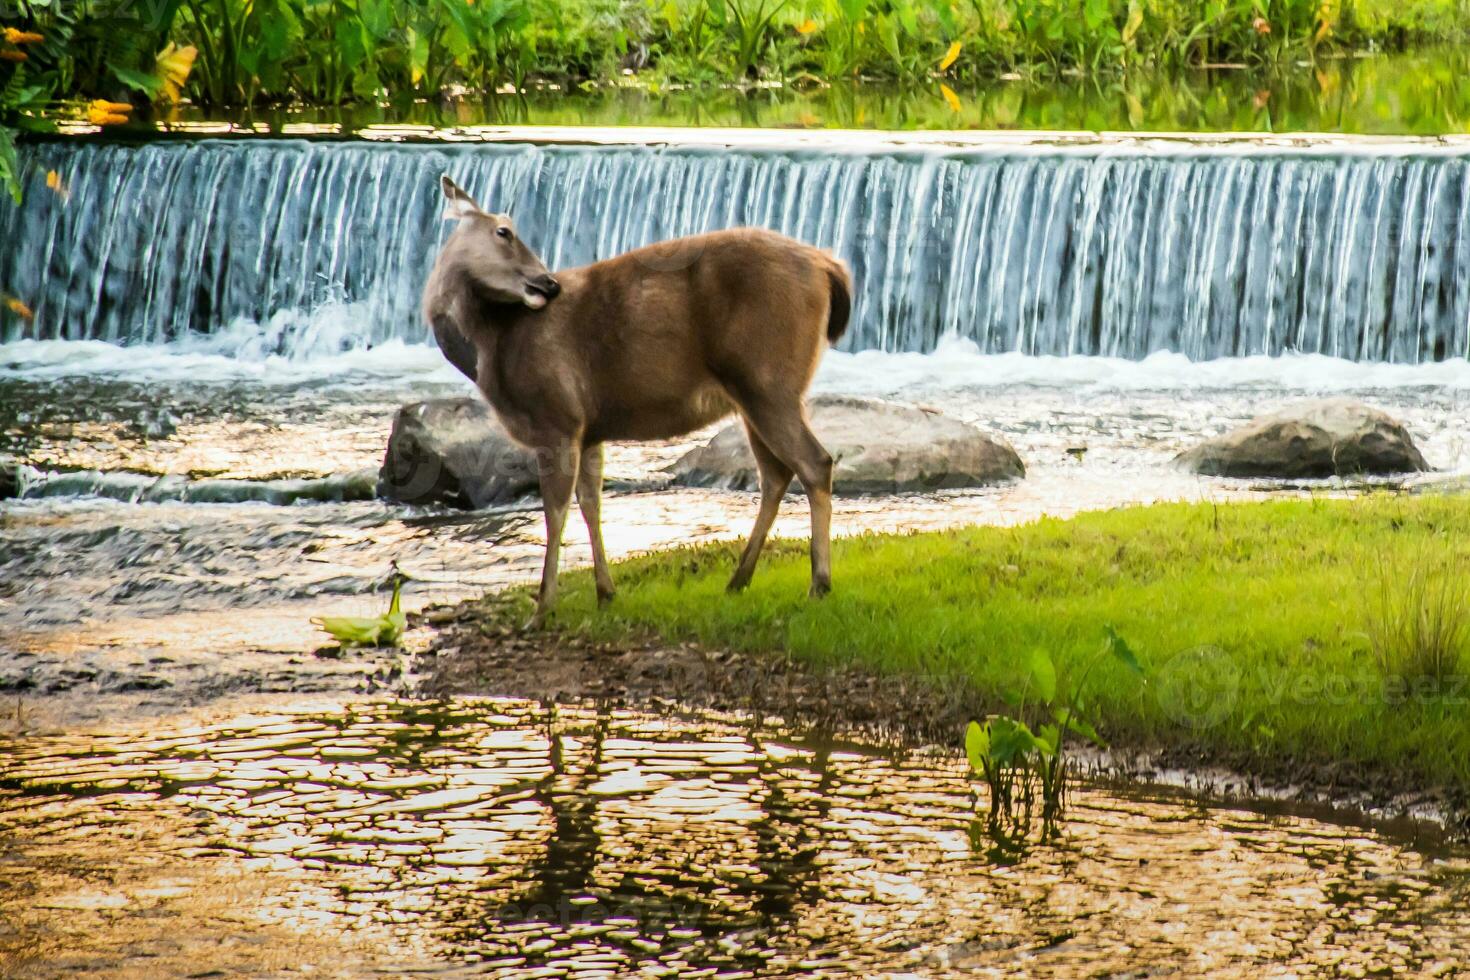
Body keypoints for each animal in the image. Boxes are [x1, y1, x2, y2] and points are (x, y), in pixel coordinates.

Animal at [423, 173, 852, 625]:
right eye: (503, 231)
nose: (549, 283)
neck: (491, 345)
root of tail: (829, 267)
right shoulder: (589, 429)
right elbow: (591, 503)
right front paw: (605, 592)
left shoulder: (556, 416)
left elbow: (555, 513)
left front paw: (542, 608)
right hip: (755, 394)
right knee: (776, 473)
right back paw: (739, 579)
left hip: (768, 380)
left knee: (814, 462)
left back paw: (818, 583)